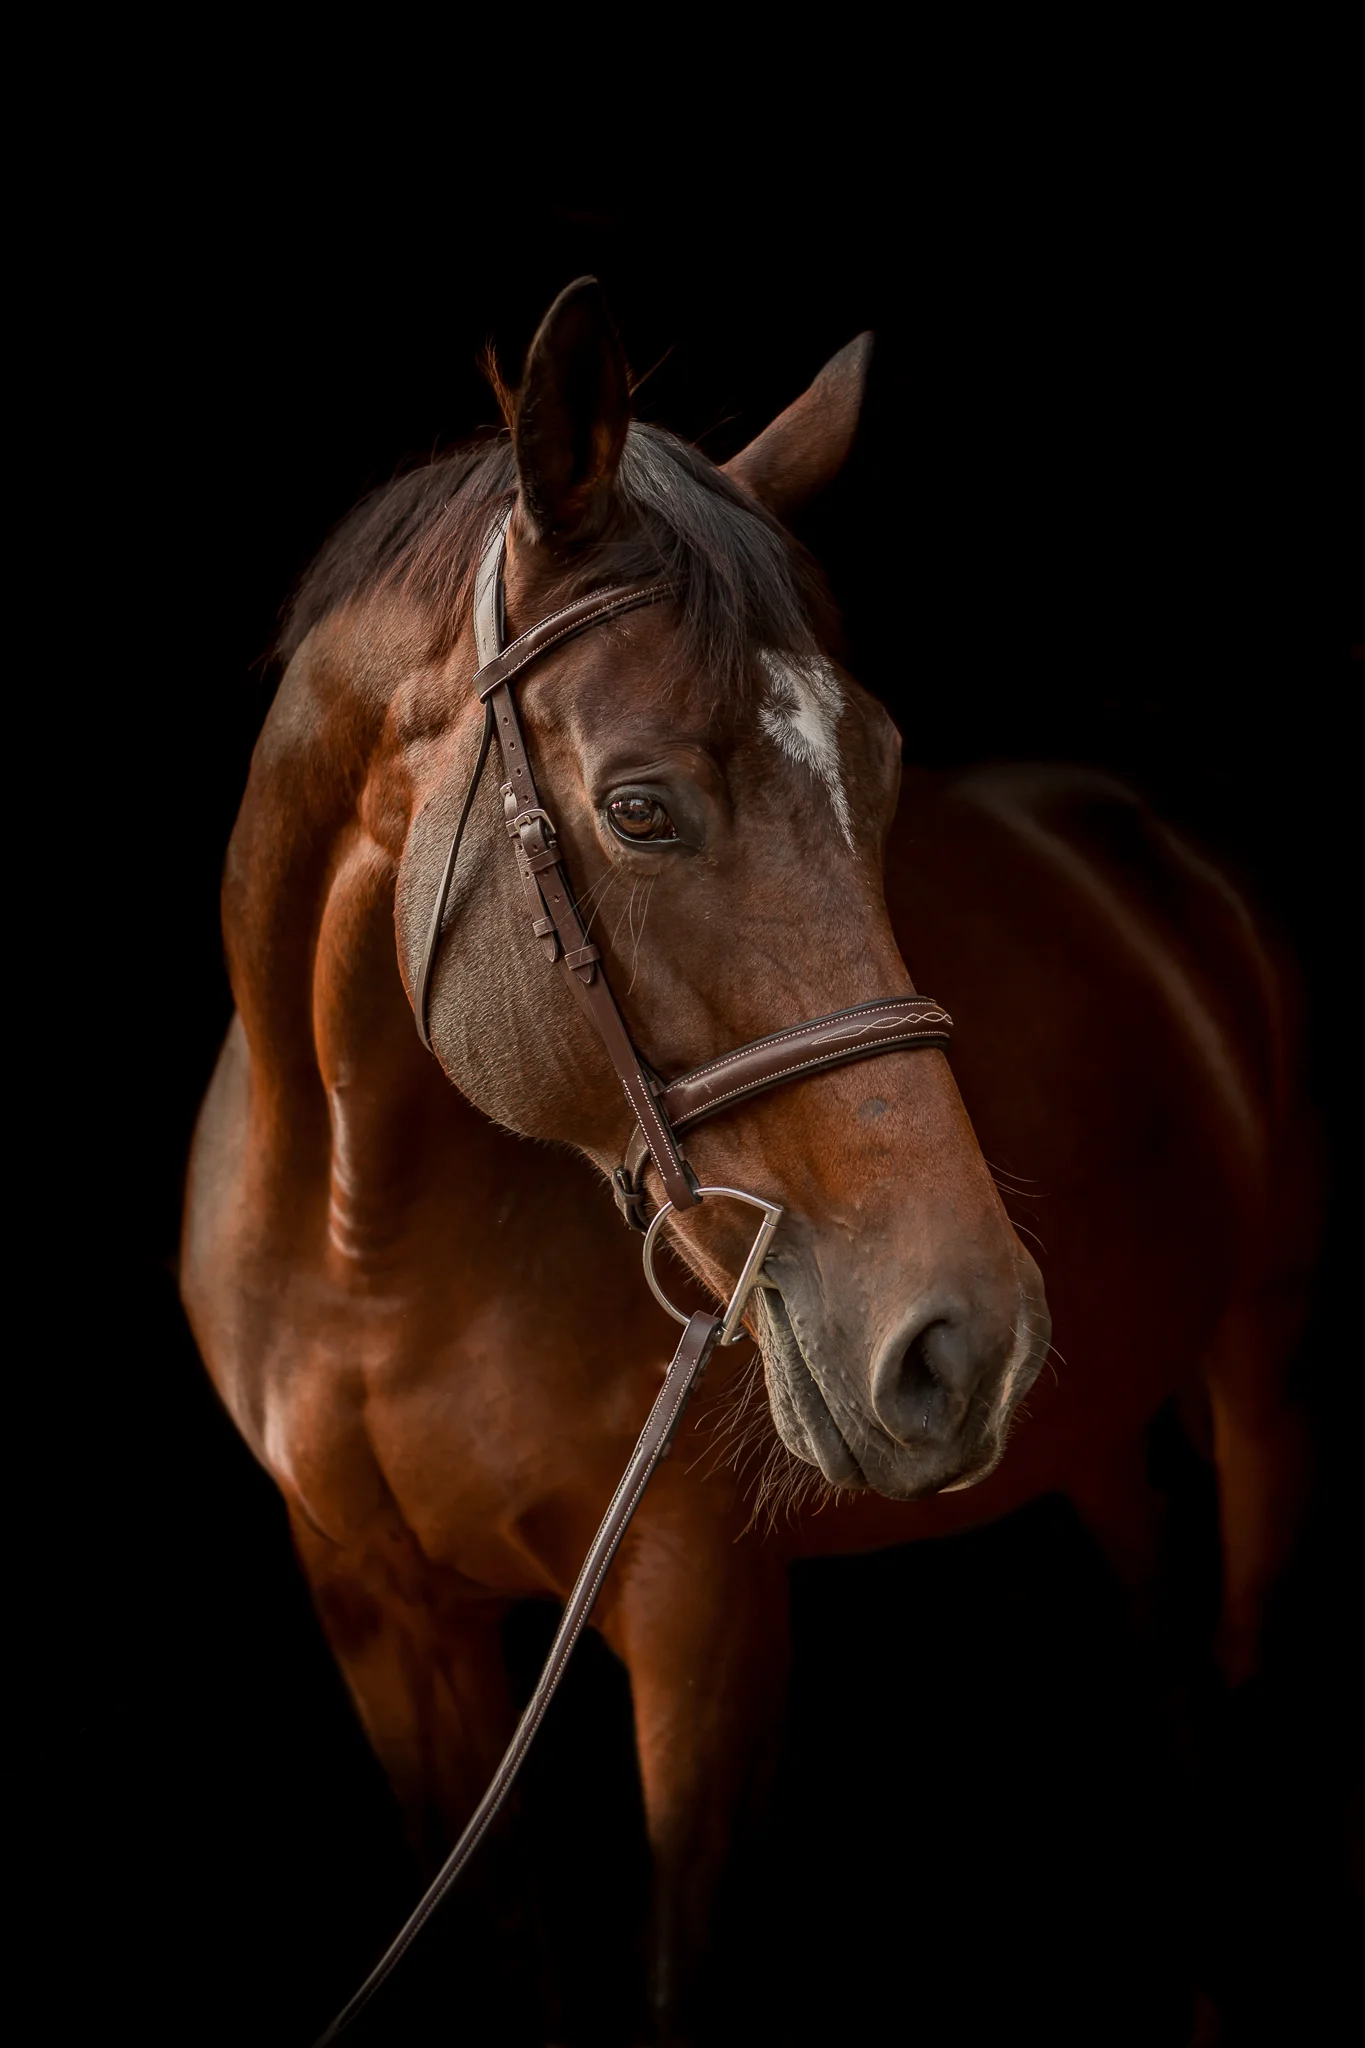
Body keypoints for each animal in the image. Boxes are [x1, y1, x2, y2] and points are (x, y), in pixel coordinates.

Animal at [181, 280, 1319, 2043]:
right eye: (641, 811)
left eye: (881, 773)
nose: (961, 1338)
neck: (364, 1237)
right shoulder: (375, 1615)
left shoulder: (699, 1620)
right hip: (1100, 1439)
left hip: (1259, 1374)